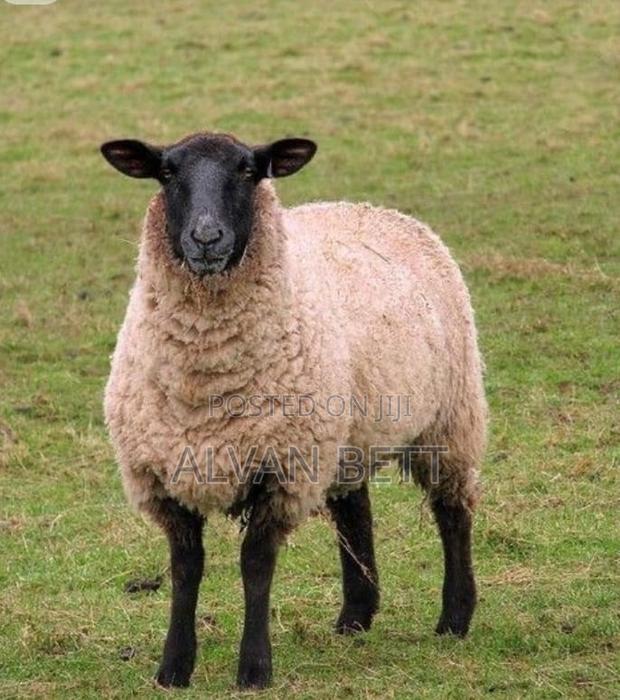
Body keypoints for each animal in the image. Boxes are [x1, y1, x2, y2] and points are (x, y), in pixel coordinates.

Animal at [100, 131, 487, 690]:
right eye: (167, 173)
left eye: (248, 171)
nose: (206, 238)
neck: (205, 381)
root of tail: (368, 207)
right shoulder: (161, 473)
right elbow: (185, 568)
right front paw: (173, 667)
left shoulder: (281, 468)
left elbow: (256, 566)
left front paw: (254, 669)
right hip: (346, 432)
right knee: (354, 507)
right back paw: (356, 614)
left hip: (450, 418)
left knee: (452, 510)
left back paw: (455, 617)